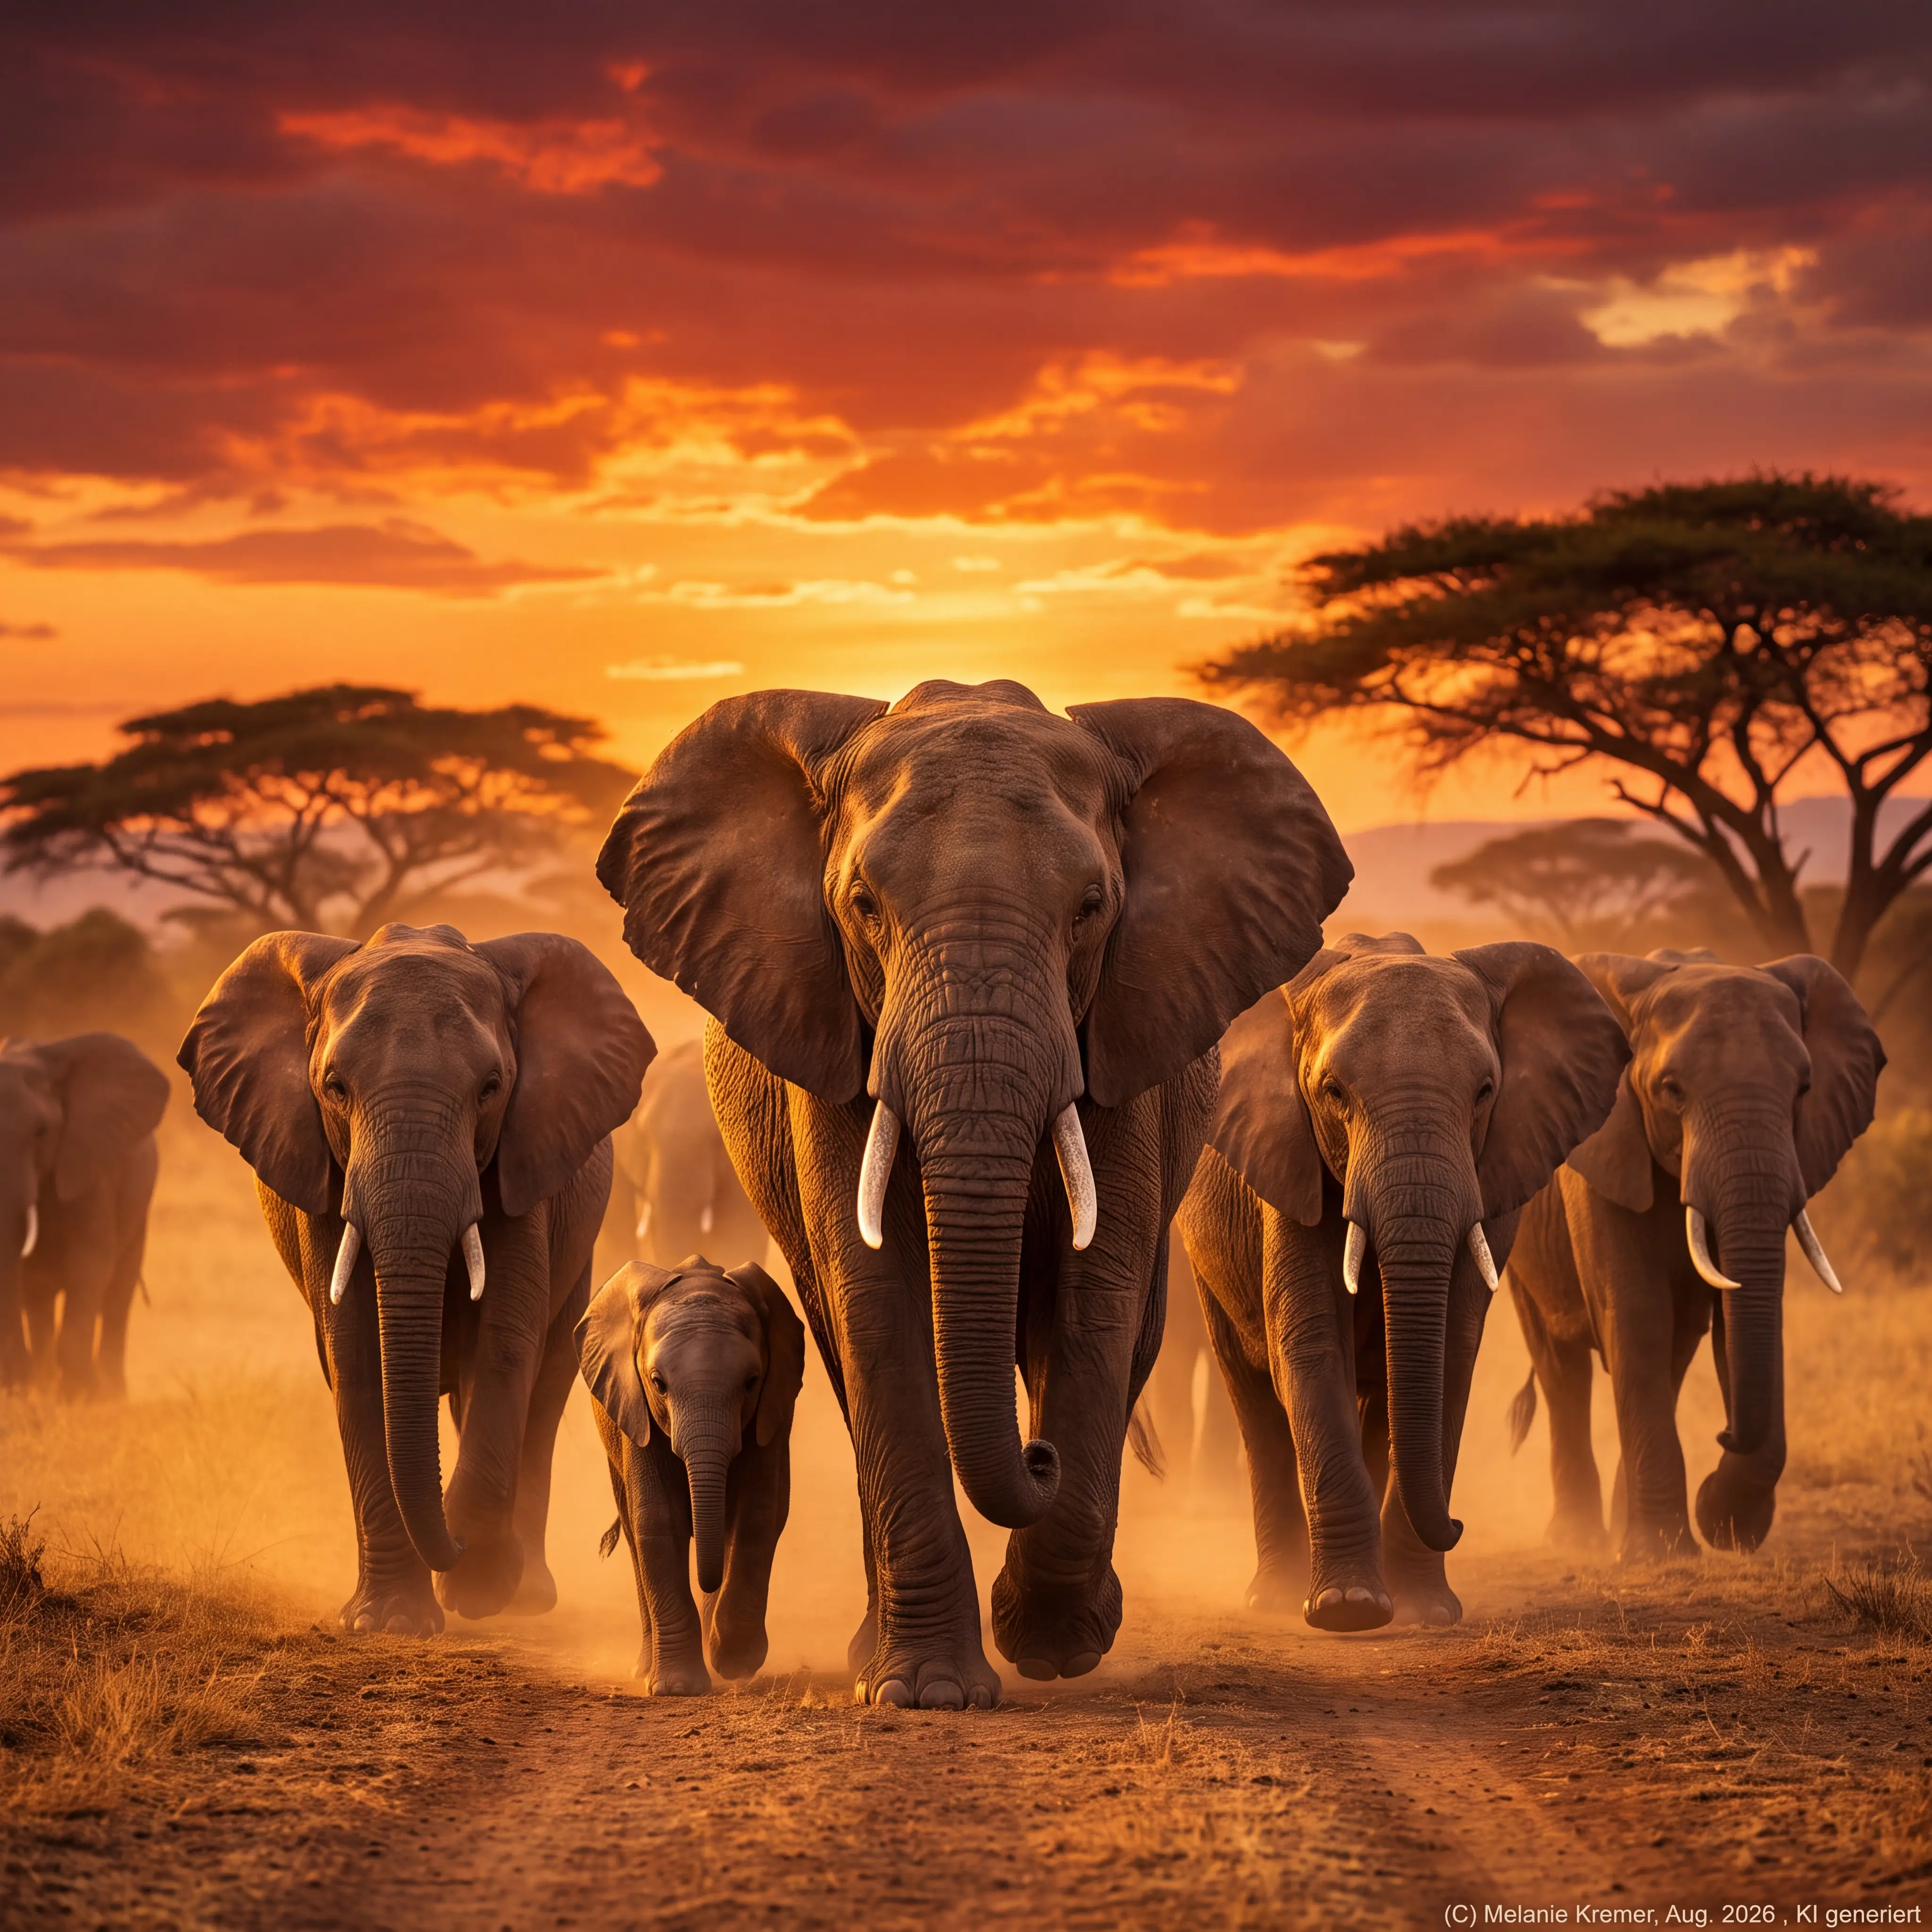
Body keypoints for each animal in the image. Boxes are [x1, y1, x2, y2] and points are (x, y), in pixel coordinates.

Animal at [0, 1033, 171, 1397]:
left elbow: (89, 1262)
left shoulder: (92, 1167)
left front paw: (80, 1397)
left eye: (41, 1131)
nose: (14, 1382)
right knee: (38, 1300)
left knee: (117, 1297)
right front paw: (31, 1393)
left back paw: (111, 1395)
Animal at [178, 922, 655, 1634]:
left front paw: (477, 1587)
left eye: (491, 1087)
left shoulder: (524, 1162)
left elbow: (505, 1344)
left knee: (543, 1388)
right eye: (335, 1087)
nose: (453, 1545)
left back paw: (526, 1595)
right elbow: (353, 1354)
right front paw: (389, 1621)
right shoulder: (323, 1181)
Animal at [579, 1255, 805, 1694]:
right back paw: (645, 1669)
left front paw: (733, 1659)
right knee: (634, 1534)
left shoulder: (771, 1413)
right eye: (658, 1384)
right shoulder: (637, 1413)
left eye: (751, 1383)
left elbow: (758, 1515)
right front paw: (678, 1688)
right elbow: (658, 1521)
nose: (708, 1583)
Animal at [1176, 934, 1629, 1629]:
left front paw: (1422, 1611)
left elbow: (1448, 1355)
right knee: (1255, 1401)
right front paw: (1348, 1610)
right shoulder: (1291, 1166)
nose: (1459, 1524)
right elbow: (1310, 1349)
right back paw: (1274, 1597)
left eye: (1485, 1091)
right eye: (1334, 1092)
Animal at [1507, 948, 1882, 1558]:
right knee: (1562, 1367)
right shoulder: (1603, 1152)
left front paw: (1718, 1524)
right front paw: (1662, 1551)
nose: (1724, 1433)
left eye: (1804, 1087)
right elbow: (1637, 1316)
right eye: (1671, 1089)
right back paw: (1577, 1540)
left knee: (1675, 1353)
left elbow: (1738, 1323)